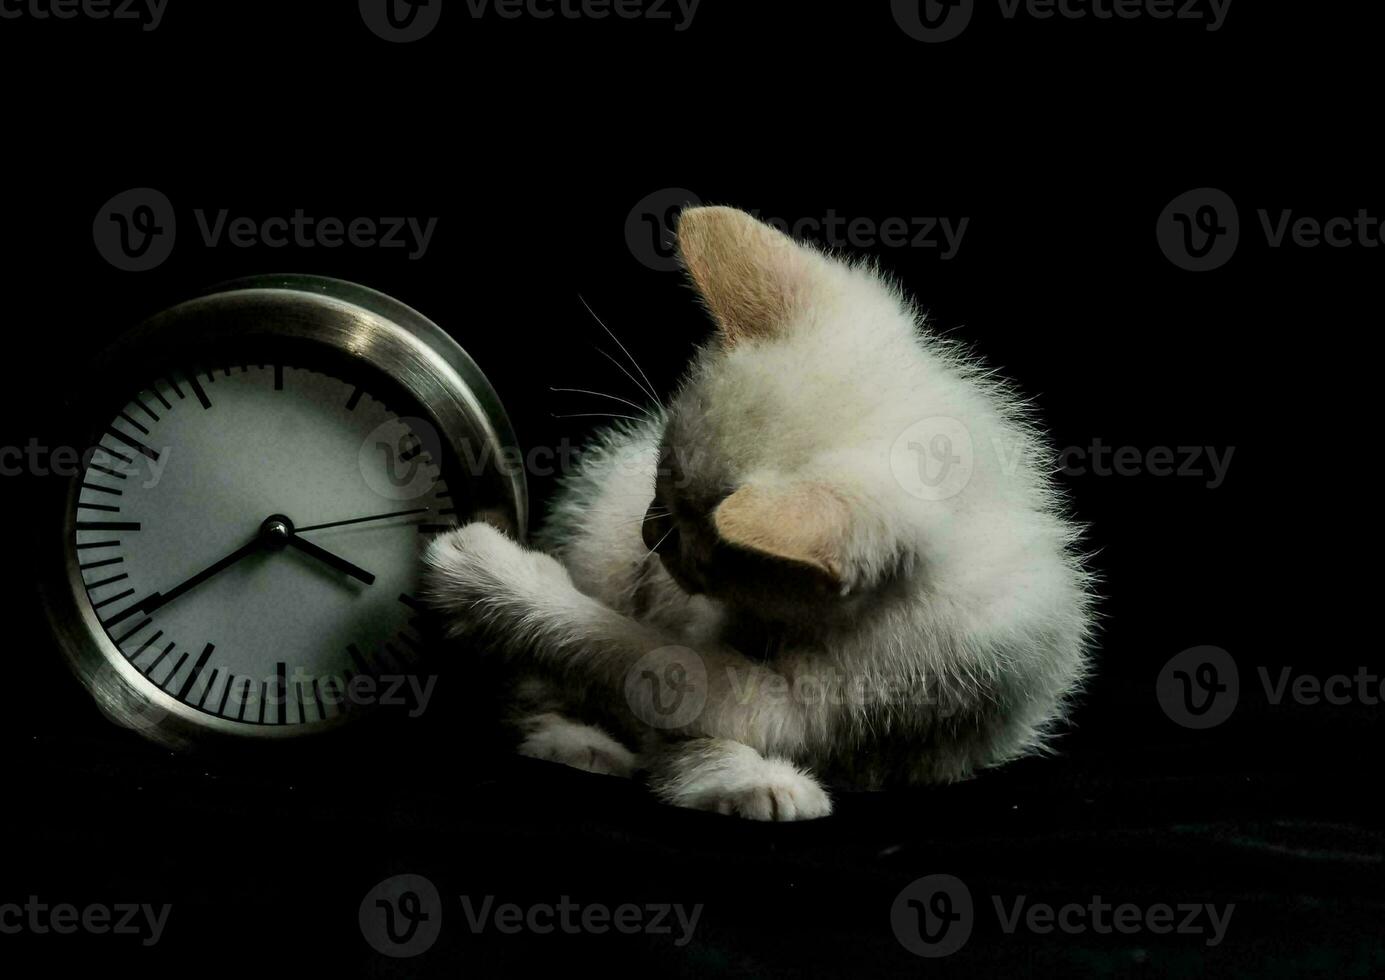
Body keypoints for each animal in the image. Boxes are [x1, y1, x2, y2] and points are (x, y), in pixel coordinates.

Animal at [426, 204, 1096, 819]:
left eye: (703, 543)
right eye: (661, 476)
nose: (648, 535)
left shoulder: (859, 693)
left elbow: (648, 664)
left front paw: (491, 578)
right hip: (600, 530)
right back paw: (574, 741)